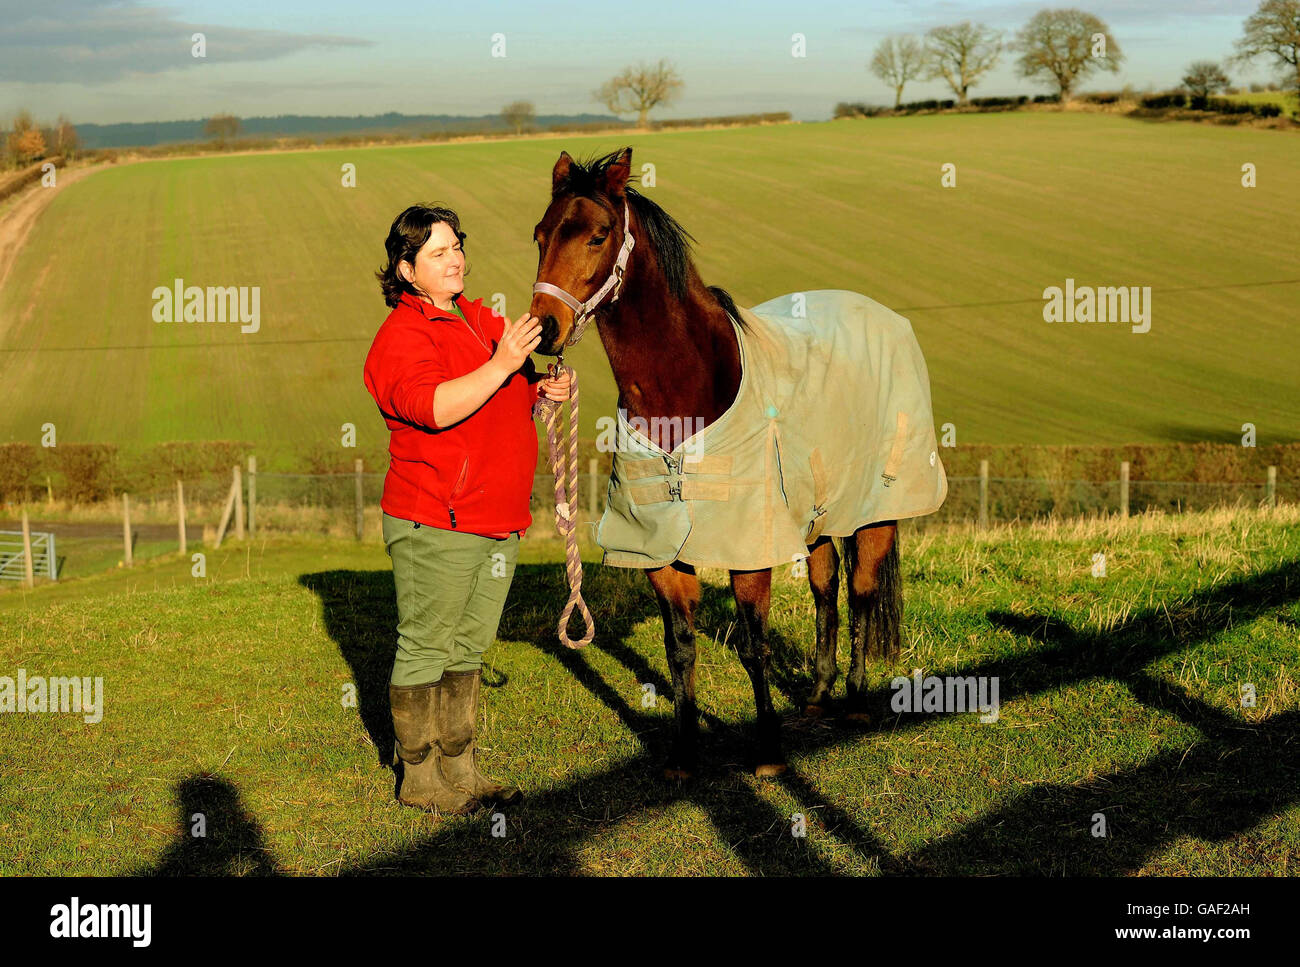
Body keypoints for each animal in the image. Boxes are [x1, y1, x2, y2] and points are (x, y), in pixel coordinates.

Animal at [528, 147, 910, 779]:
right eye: (540, 234)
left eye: (598, 234)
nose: (544, 330)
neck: (691, 386)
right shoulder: (659, 550)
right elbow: (679, 649)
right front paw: (684, 755)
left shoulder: (748, 547)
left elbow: (755, 647)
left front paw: (770, 754)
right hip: (816, 512)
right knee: (826, 582)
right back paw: (817, 696)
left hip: (873, 510)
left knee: (860, 589)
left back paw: (855, 704)